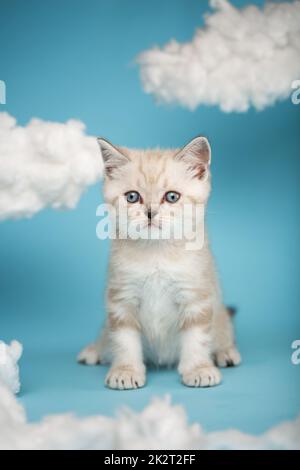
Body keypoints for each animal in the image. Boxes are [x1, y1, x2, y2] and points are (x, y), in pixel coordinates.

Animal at [78, 136, 241, 390]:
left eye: (172, 197)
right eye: (132, 197)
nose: (150, 213)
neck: (157, 252)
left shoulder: (196, 296)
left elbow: (197, 338)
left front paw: (198, 369)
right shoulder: (121, 298)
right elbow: (124, 340)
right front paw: (126, 370)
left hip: (220, 313)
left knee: (223, 331)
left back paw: (225, 352)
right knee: (107, 336)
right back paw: (95, 350)